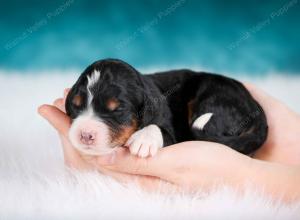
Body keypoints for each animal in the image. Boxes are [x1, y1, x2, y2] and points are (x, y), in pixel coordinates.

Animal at [65, 58, 268, 157]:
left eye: (117, 110)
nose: (85, 135)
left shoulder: (172, 131)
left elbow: (157, 128)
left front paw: (144, 139)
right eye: (76, 106)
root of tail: (255, 106)